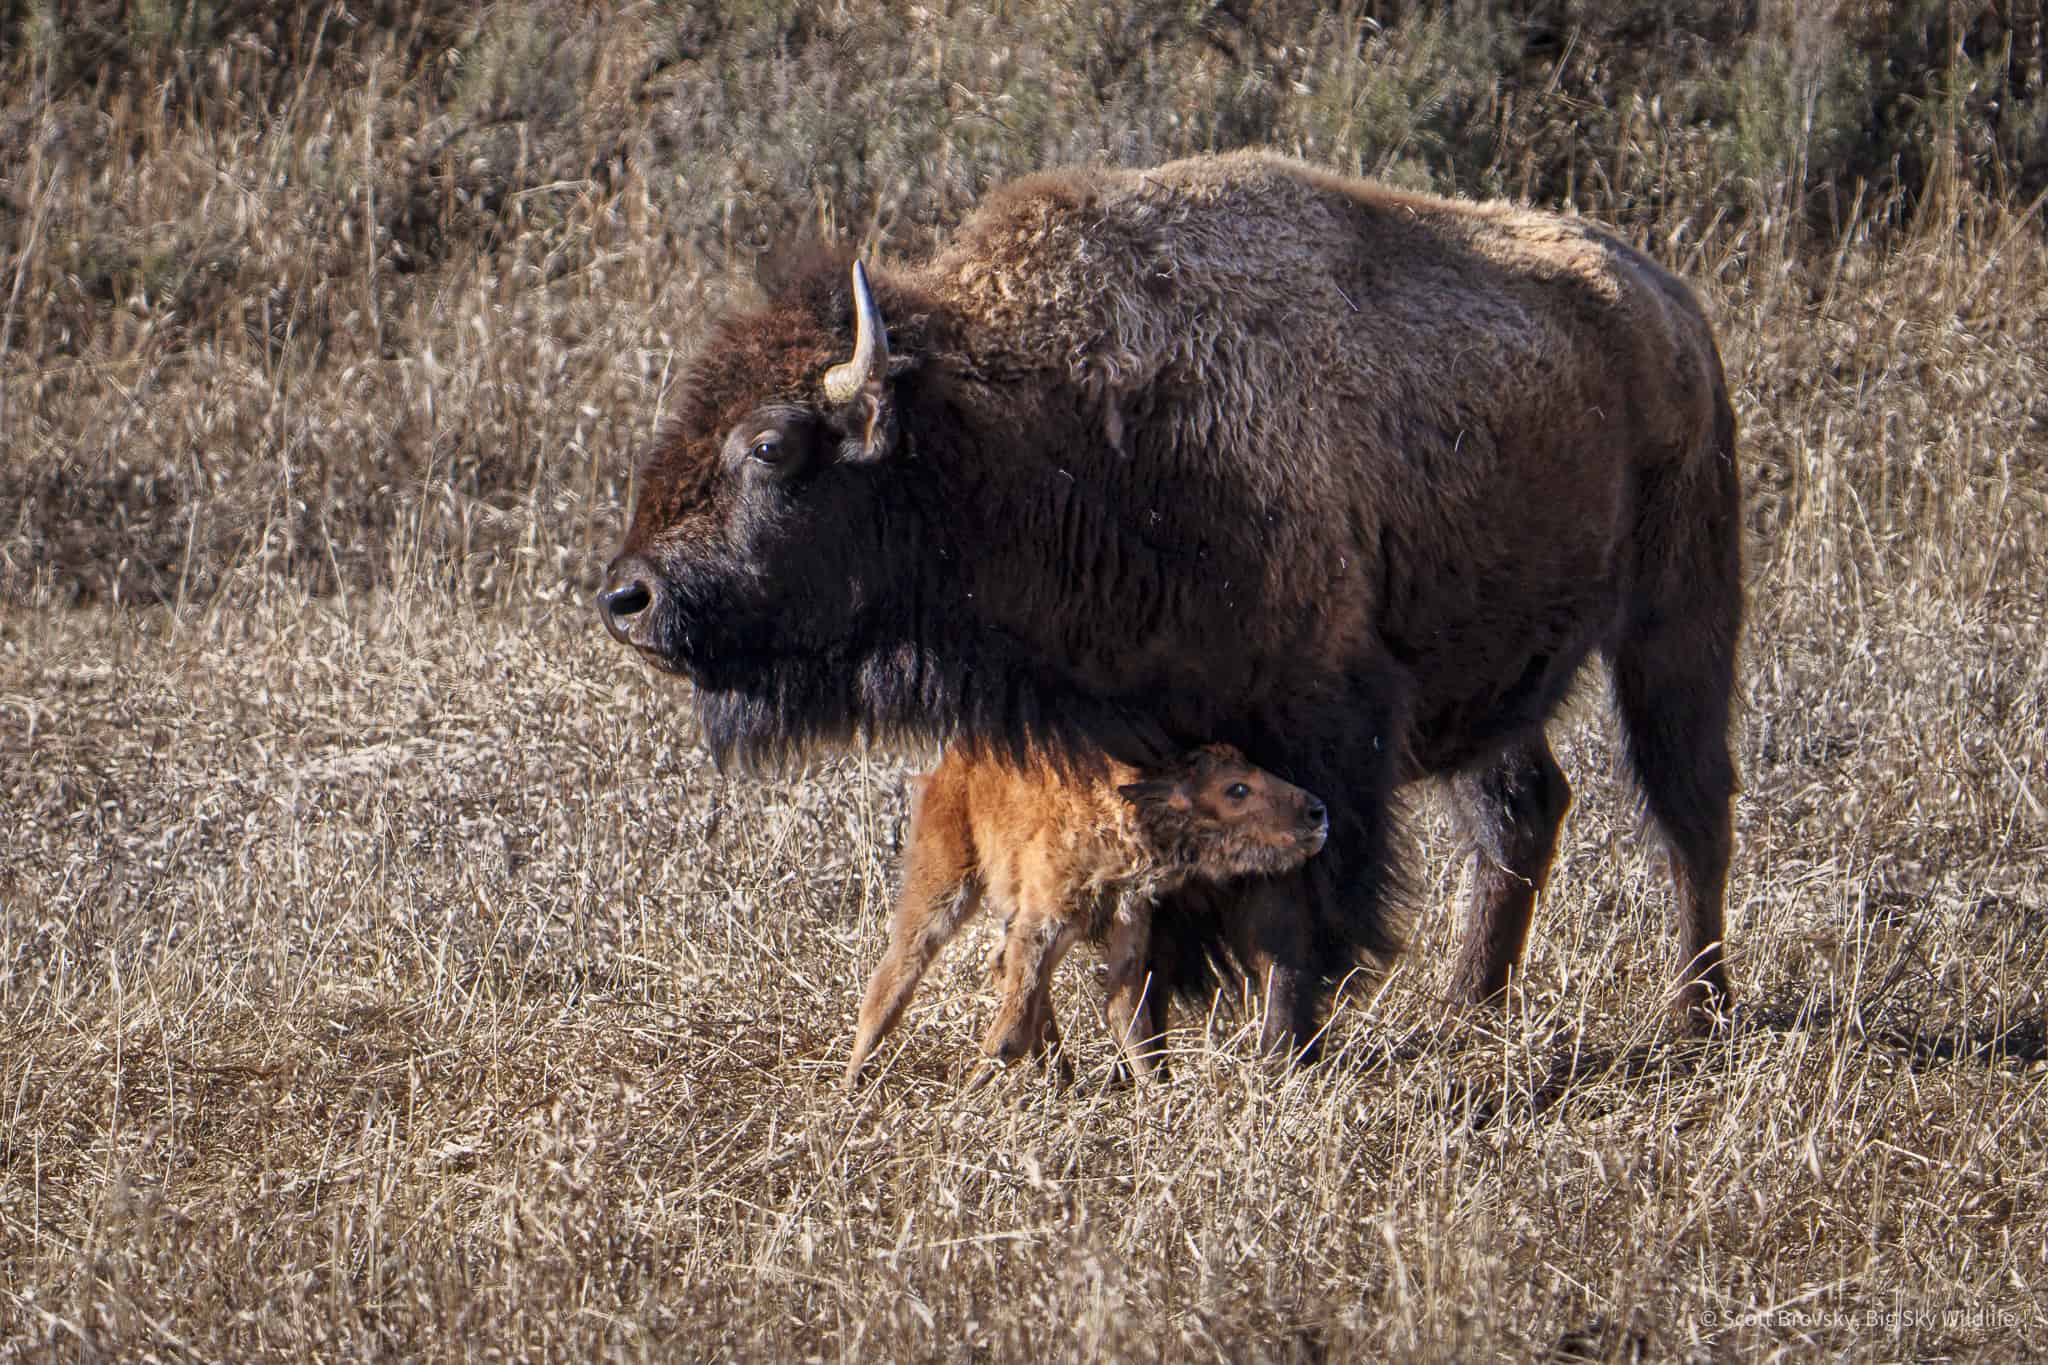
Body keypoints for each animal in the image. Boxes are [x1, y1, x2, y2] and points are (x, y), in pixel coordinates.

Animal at [601, 150, 1742, 1053]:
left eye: (770, 446)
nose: (629, 597)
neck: (1038, 427)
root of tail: (1670, 301)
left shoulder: (1318, 726)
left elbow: (1292, 906)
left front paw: (1282, 1055)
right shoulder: (1145, 750)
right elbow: (1151, 920)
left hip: (1678, 621)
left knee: (1689, 811)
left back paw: (1695, 1015)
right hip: (1491, 678)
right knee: (1521, 811)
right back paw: (1470, 1013)